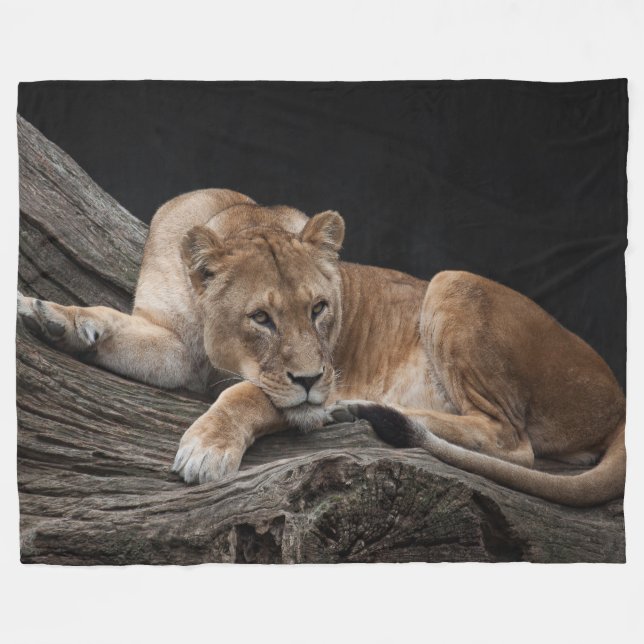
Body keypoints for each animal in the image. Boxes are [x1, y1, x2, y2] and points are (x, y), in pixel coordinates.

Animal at [17, 188, 626, 507]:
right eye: (261, 318)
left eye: (319, 309)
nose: (314, 382)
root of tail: (620, 397)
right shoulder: (174, 347)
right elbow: (112, 324)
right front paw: (52, 316)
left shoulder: (296, 385)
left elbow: (247, 394)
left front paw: (207, 448)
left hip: (452, 281)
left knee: (513, 442)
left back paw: (358, 407)